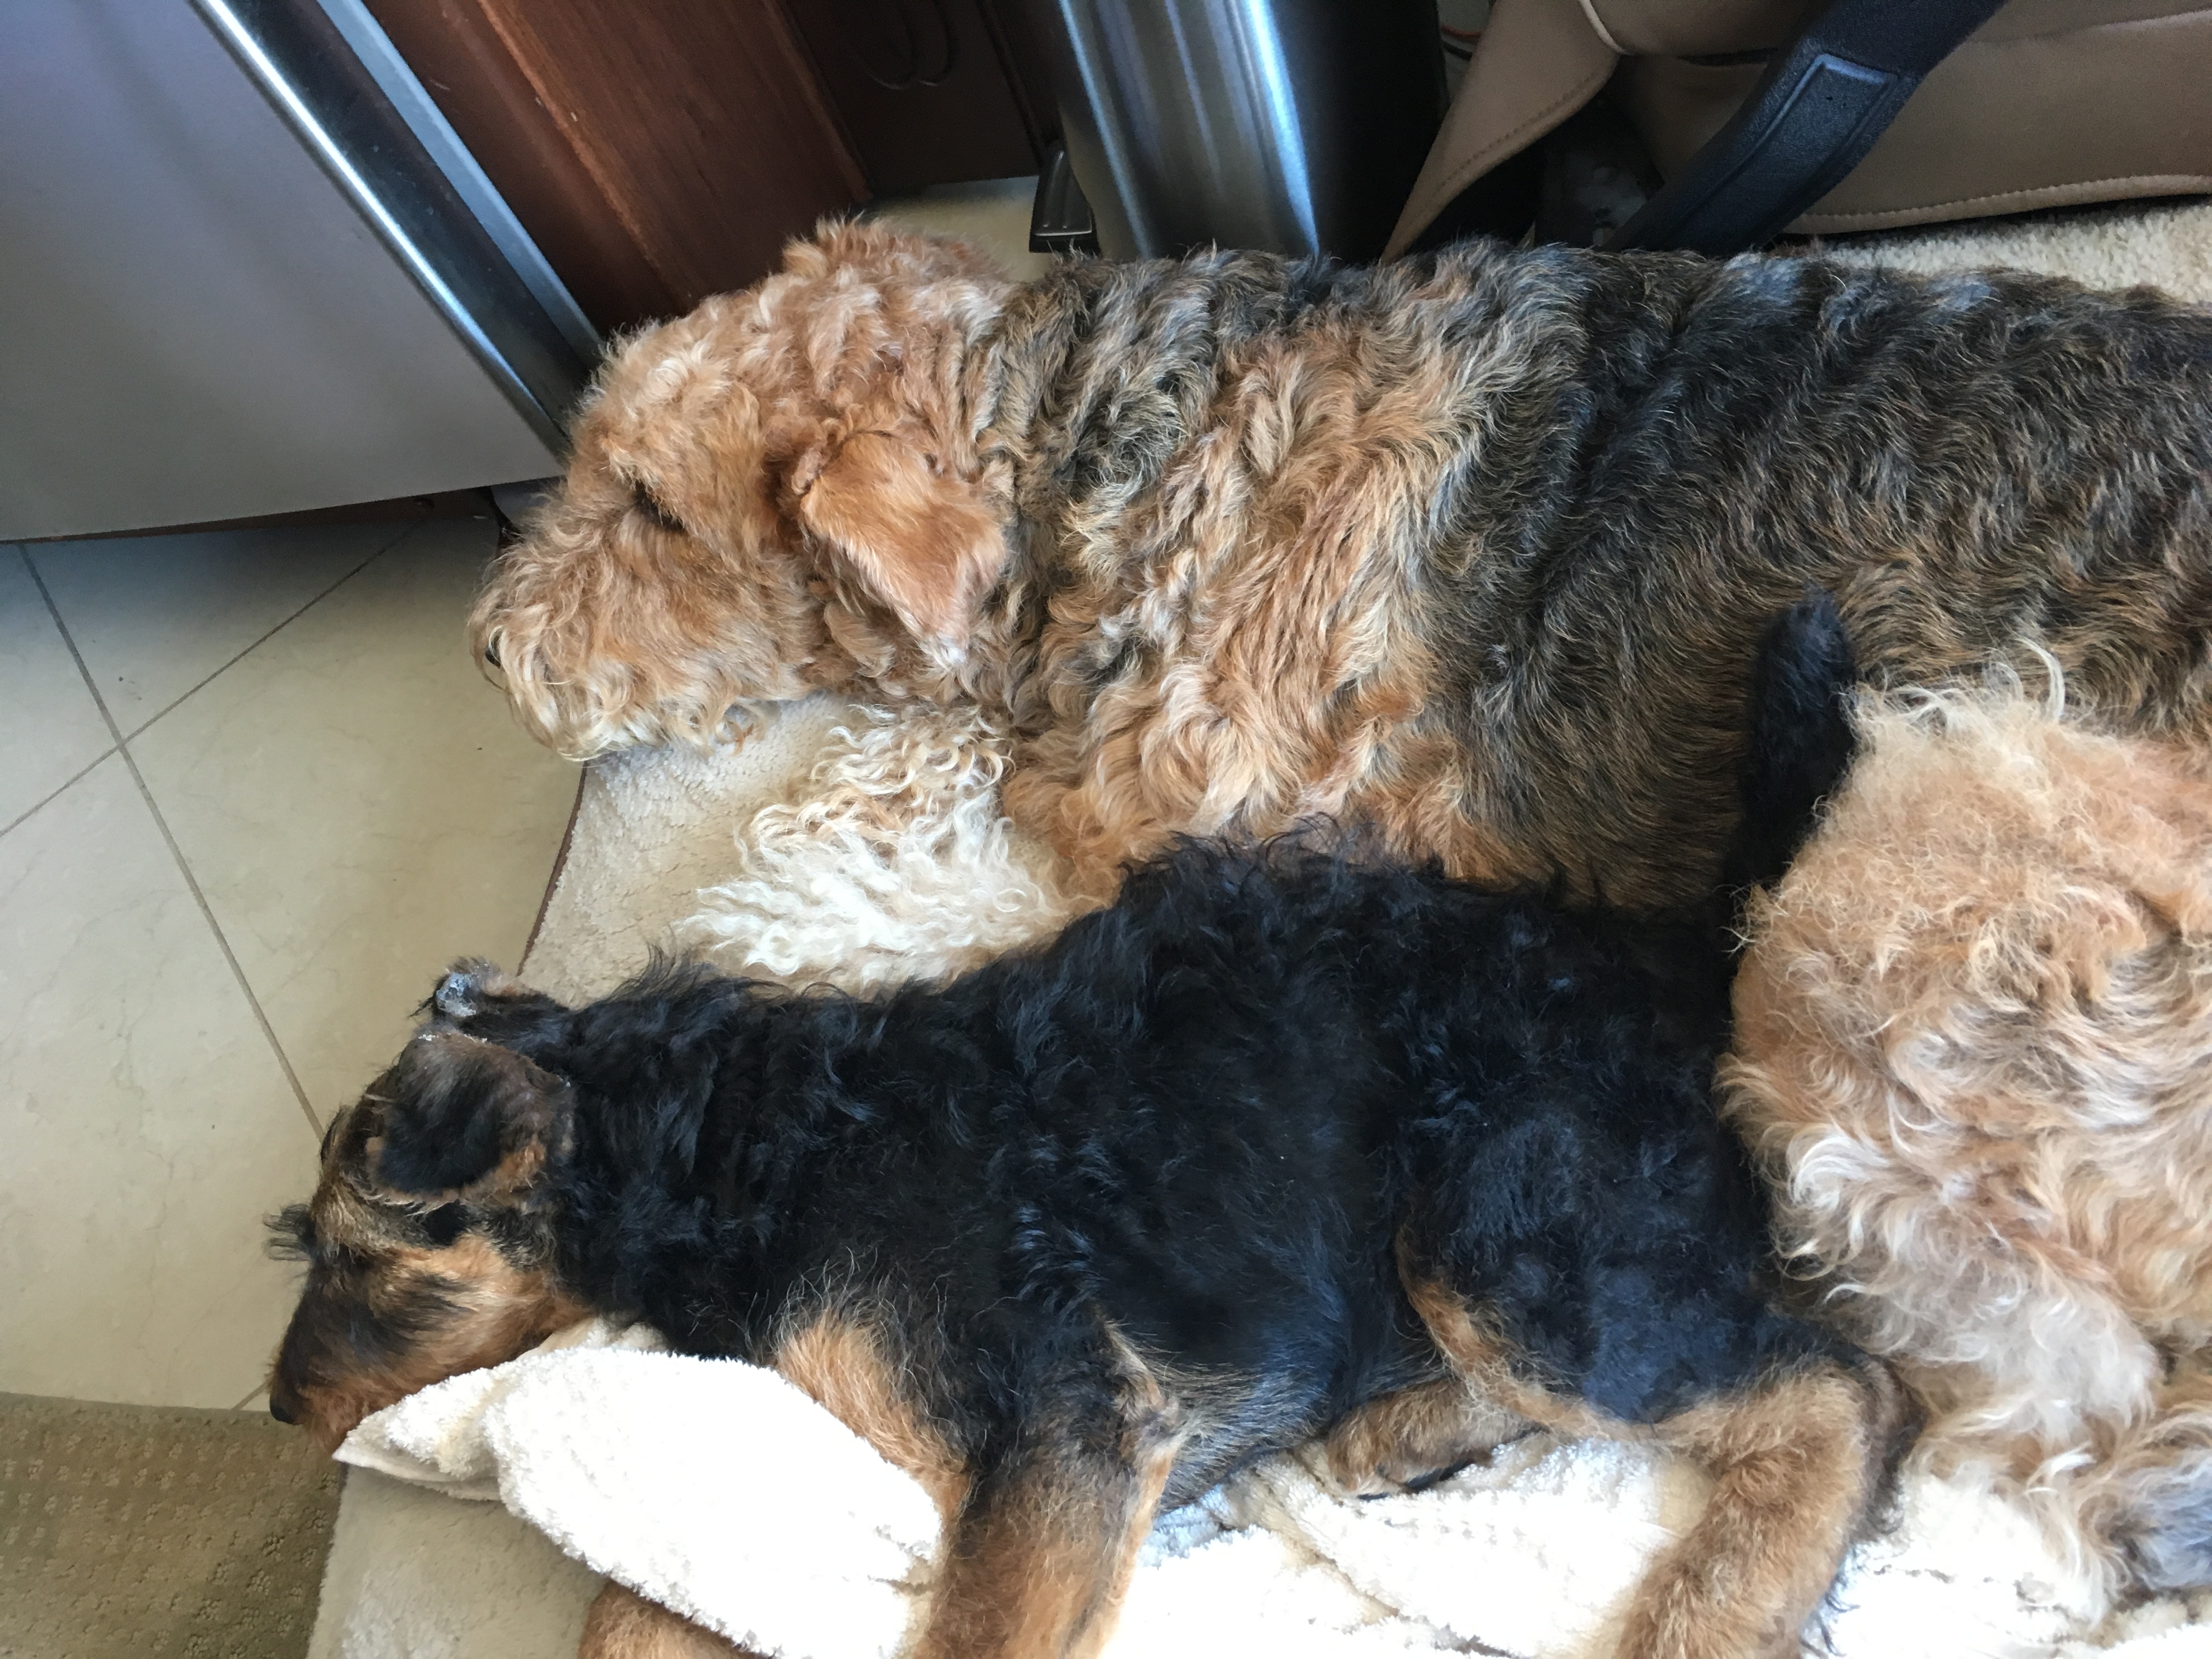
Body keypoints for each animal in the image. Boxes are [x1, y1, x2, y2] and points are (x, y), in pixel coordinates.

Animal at [268, 599, 1903, 1659]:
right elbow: (641, 1608)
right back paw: (1398, 1429)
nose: (280, 1412)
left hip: (1505, 1227)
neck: (735, 1147)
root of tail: (1689, 955)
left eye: (350, 1261)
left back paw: (1711, 1618)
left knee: (1837, 1391)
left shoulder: (1062, 1423)